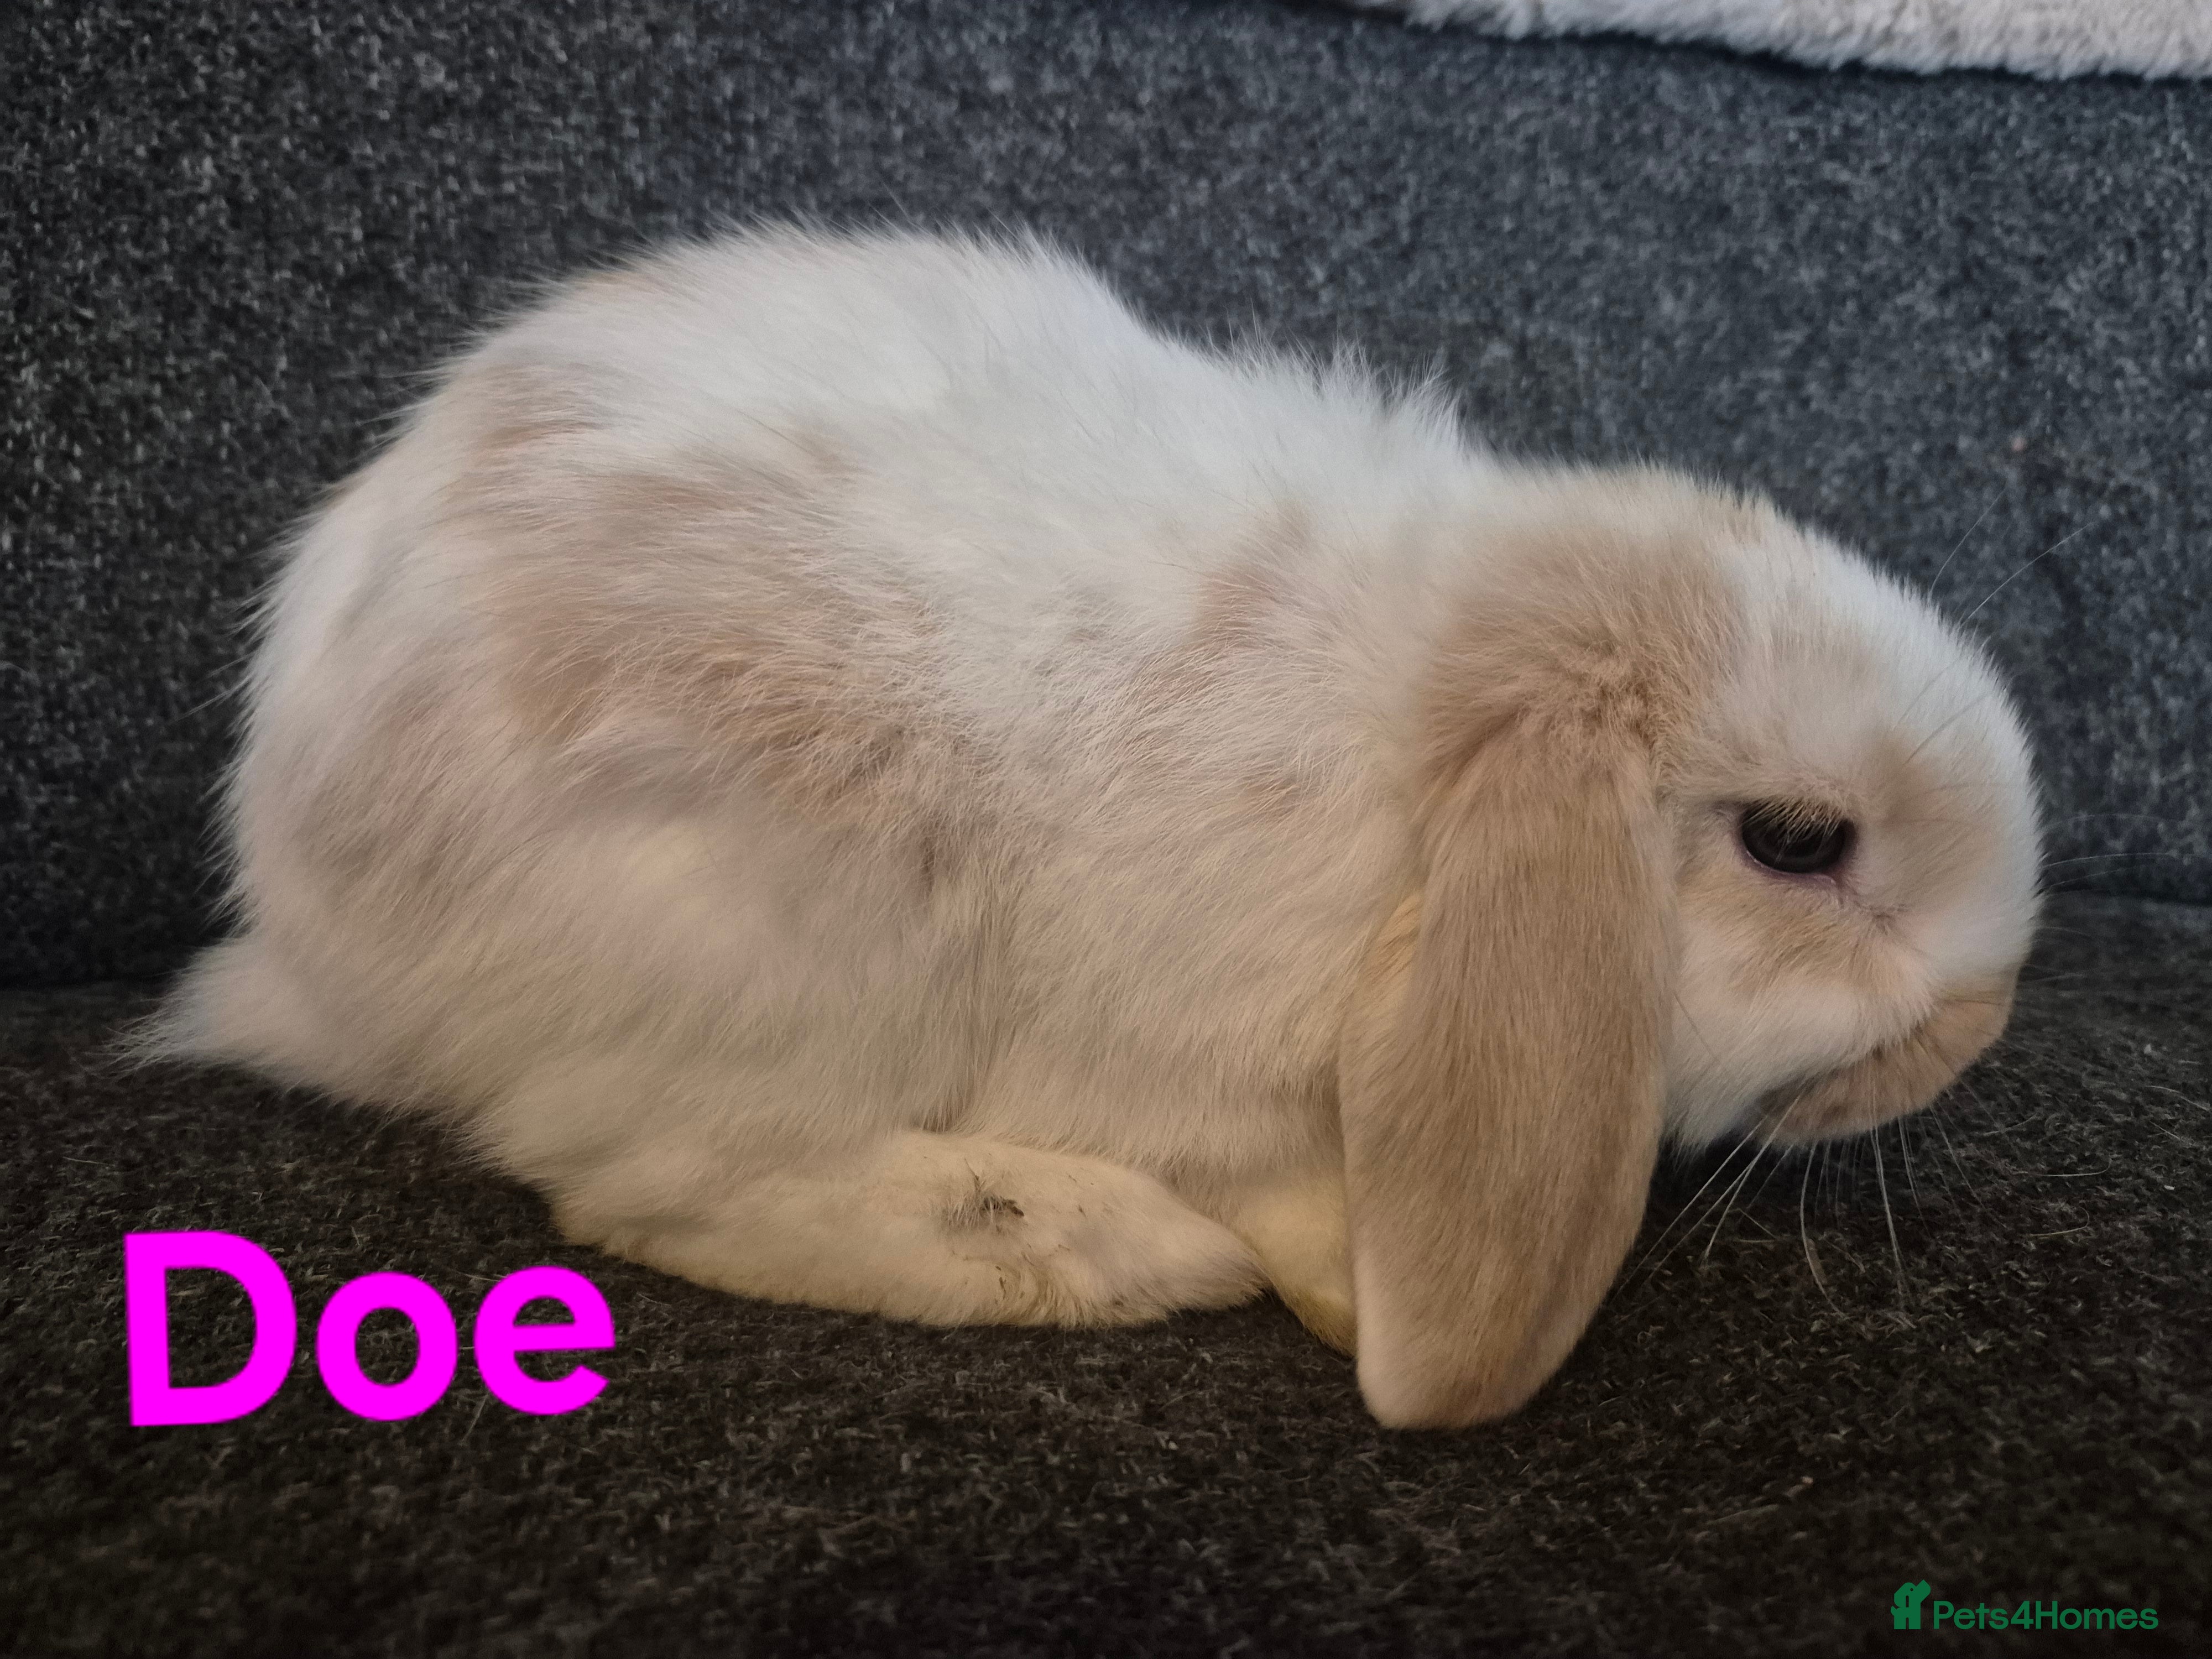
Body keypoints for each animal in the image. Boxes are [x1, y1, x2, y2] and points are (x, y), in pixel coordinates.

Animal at [153, 226, 2043, 1428]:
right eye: (1798, 842)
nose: (1977, 1031)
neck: (1427, 746)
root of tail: (307, 934)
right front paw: (1345, 1287)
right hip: (775, 931)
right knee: (646, 1181)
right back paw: (1089, 1249)